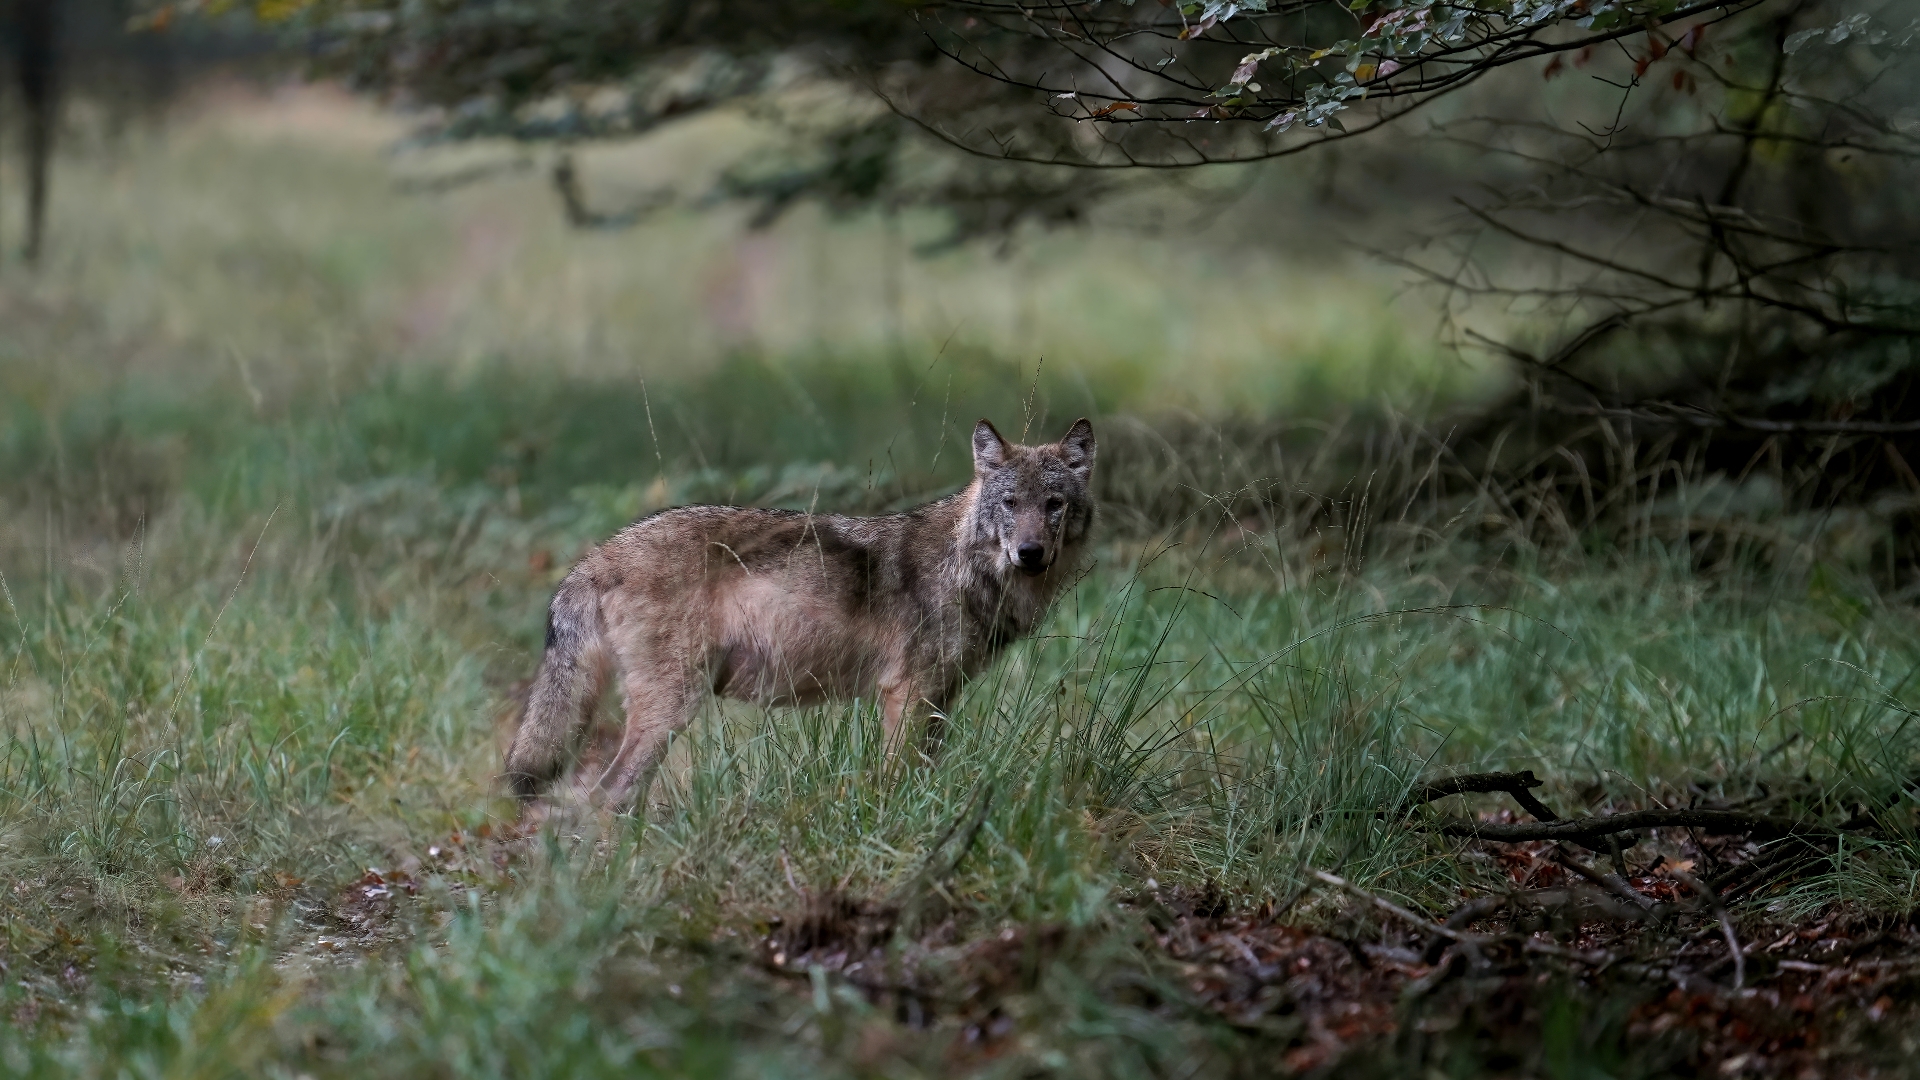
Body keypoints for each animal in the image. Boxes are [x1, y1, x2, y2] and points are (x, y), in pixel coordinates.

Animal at [504, 417, 1097, 809]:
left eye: (1053, 505)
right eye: (1010, 504)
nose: (1030, 553)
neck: (966, 567)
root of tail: (598, 554)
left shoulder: (940, 699)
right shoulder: (907, 693)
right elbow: (895, 780)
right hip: (671, 709)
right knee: (605, 797)